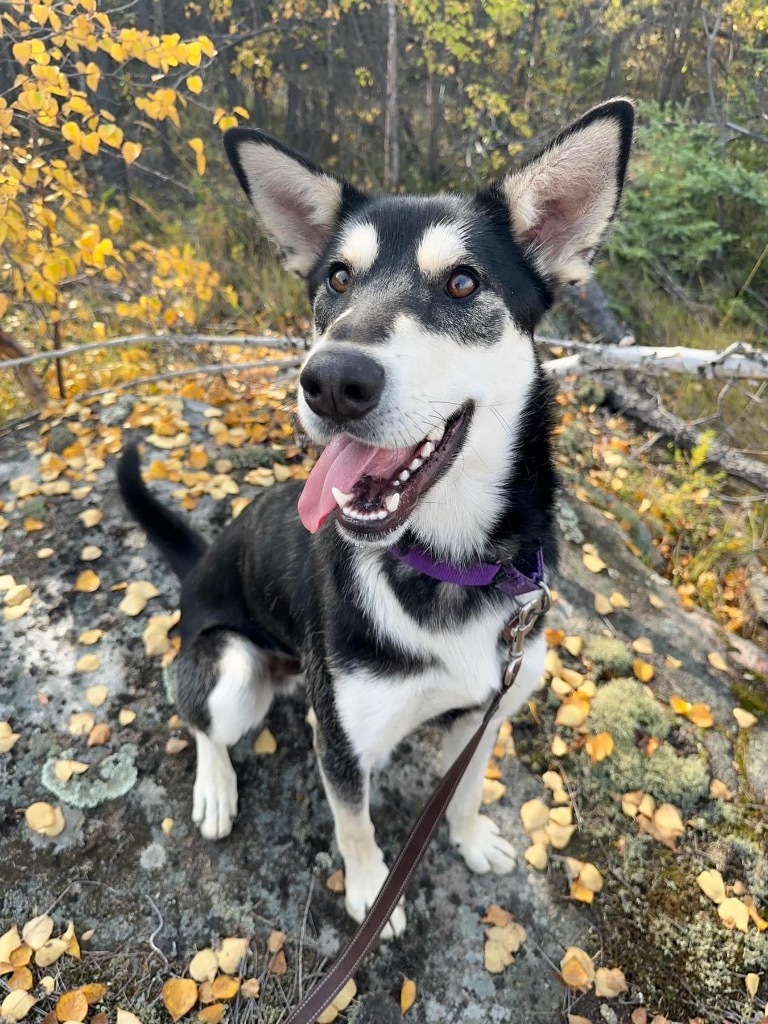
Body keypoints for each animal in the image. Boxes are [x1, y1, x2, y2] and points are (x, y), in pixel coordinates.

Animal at [118, 99, 630, 937]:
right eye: (336, 277)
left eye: (462, 282)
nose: (331, 380)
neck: (449, 560)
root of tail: (198, 570)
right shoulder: (342, 736)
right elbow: (352, 818)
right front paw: (369, 890)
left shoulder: (488, 710)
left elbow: (464, 789)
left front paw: (470, 839)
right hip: (231, 668)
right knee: (195, 714)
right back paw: (216, 786)